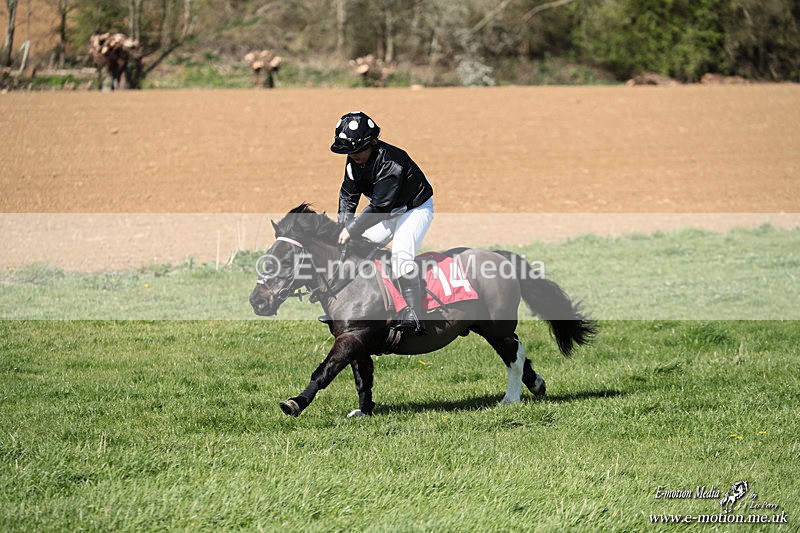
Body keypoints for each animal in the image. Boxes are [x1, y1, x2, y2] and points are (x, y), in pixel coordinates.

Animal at [249, 204, 596, 417]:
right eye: (268, 255)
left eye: (285, 259)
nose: (258, 301)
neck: (348, 278)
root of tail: (501, 256)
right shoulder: (354, 338)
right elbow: (363, 377)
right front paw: (364, 410)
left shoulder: (353, 337)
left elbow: (325, 371)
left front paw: (295, 403)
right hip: (485, 326)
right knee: (518, 354)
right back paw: (536, 385)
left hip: (496, 325)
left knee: (514, 354)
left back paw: (510, 398)